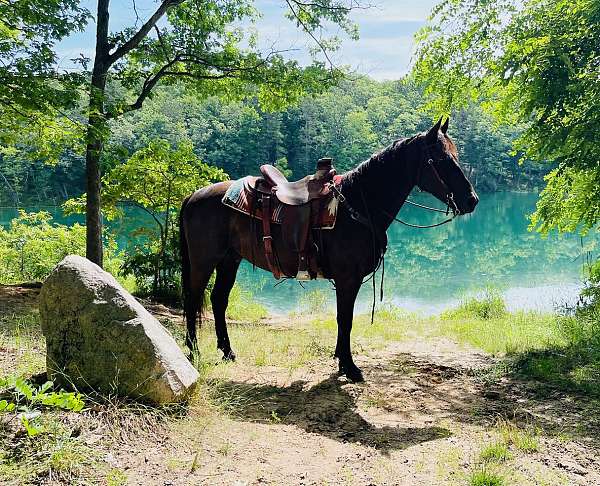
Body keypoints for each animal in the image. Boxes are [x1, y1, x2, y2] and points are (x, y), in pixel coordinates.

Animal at [178, 116, 478, 382]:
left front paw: (341, 360)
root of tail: (194, 195)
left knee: (218, 299)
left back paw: (227, 351)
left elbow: (343, 319)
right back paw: (193, 351)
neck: (357, 206)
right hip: (204, 261)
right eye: (441, 159)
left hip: (230, 259)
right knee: (193, 299)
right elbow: (345, 320)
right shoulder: (348, 279)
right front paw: (350, 367)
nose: (472, 200)